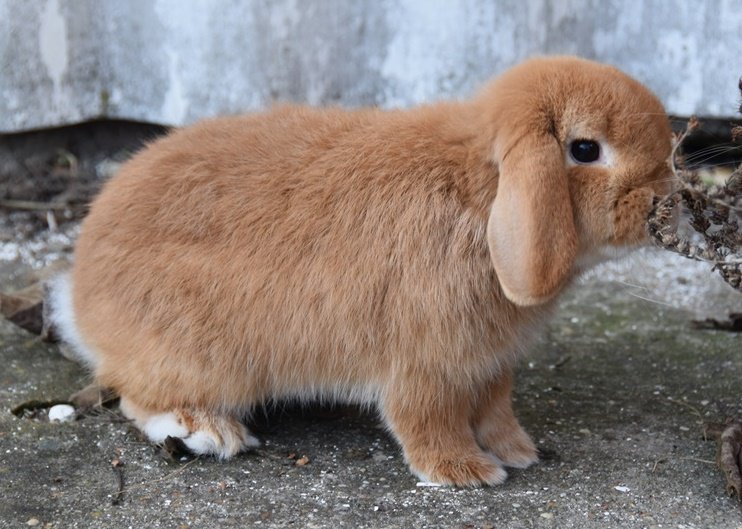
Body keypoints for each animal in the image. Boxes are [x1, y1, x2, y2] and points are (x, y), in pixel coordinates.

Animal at [48, 56, 674, 486]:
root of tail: (78, 298)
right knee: (133, 398)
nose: (664, 199)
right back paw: (206, 431)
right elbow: (427, 419)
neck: (482, 189)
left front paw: (518, 453)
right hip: (202, 360)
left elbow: (496, 411)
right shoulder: (427, 365)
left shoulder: (490, 367)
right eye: (586, 149)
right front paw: (464, 472)